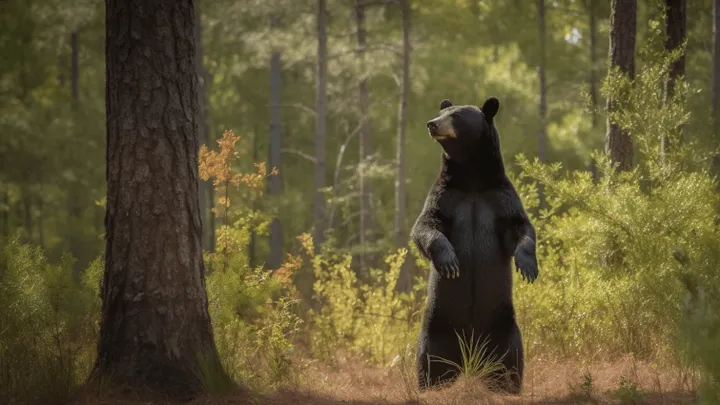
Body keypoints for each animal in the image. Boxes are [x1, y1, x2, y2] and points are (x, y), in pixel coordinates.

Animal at [410, 97, 539, 394]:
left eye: (456, 115)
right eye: (442, 111)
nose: (432, 124)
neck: (471, 179)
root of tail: (470, 355)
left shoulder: (499, 199)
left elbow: (521, 227)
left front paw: (528, 267)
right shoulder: (445, 197)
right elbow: (426, 227)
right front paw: (450, 263)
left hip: (502, 324)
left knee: (510, 357)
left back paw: (507, 386)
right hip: (437, 326)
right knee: (430, 359)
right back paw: (431, 386)